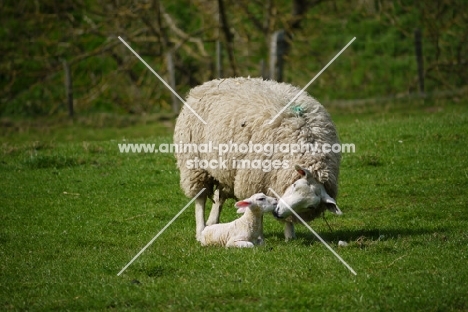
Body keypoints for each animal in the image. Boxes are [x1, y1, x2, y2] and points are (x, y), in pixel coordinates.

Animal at [174, 77, 342, 241]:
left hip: (226, 166)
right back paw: (200, 230)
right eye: (295, 185)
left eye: (310, 206)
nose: (278, 212)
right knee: (200, 198)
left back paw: (212, 222)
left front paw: (289, 235)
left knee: (220, 195)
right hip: (194, 163)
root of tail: (211, 82)